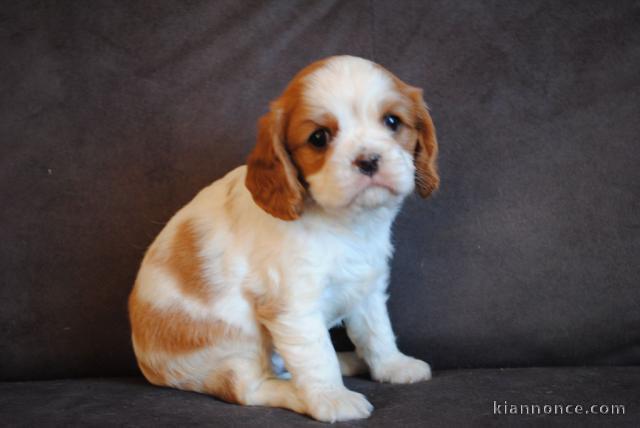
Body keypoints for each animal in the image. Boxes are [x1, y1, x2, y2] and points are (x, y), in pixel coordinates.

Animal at [130, 54, 440, 422]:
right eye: (319, 137)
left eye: (392, 121)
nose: (368, 160)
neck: (345, 223)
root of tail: (148, 365)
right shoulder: (293, 307)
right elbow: (317, 357)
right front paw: (331, 399)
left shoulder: (367, 287)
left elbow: (376, 330)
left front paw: (393, 366)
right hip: (233, 348)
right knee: (247, 386)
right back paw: (298, 392)